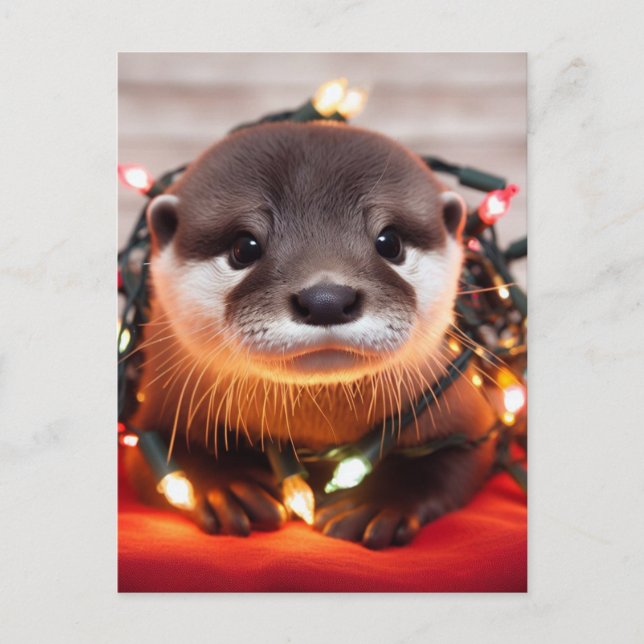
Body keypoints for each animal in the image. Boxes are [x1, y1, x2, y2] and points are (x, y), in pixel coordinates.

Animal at [124, 121, 498, 549]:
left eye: (390, 242)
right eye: (244, 247)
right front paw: (229, 486)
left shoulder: (464, 410)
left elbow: (455, 458)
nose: (326, 300)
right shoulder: (153, 411)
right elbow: (162, 455)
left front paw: (375, 502)